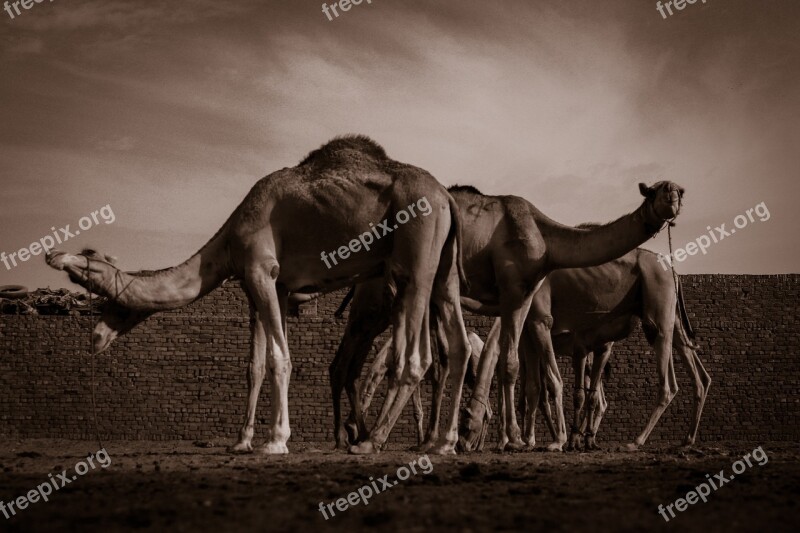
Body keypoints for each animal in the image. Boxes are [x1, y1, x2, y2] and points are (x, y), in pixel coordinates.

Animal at [45, 136, 476, 454]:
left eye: (113, 301)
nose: (95, 337)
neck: (228, 239)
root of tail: (445, 197)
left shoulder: (261, 270)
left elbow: (279, 358)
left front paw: (276, 441)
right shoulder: (269, 287)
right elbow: (254, 365)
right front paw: (242, 441)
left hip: (414, 259)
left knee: (417, 355)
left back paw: (372, 442)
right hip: (443, 272)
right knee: (458, 344)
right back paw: (444, 443)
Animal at [328, 181, 684, 450]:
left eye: (679, 189)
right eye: (654, 191)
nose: (673, 198)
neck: (544, 238)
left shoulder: (523, 295)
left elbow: (511, 368)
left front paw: (515, 438)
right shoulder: (517, 294)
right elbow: (522, 371)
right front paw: (529, 439)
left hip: (381, 307)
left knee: (357, 360)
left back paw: (358, 433)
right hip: (375, 301)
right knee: (353, 358)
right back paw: (355, 435)